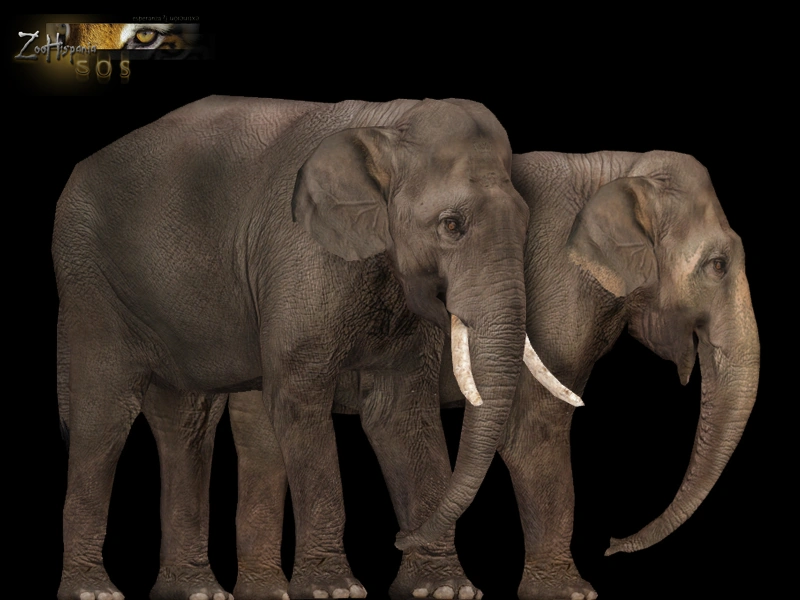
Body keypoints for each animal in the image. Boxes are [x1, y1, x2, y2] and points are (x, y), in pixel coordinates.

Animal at [52, 95, 579, 600]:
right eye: (452, 225)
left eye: (526, 223)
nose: (396, 538)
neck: (387, 125)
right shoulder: (298, 258)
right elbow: (298, 398)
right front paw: (335, 590)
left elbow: (399, 412)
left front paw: (444, 590)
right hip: (90, 283)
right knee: (106, 413)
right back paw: (94, 592)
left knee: (185, 420)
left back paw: (199, 592)